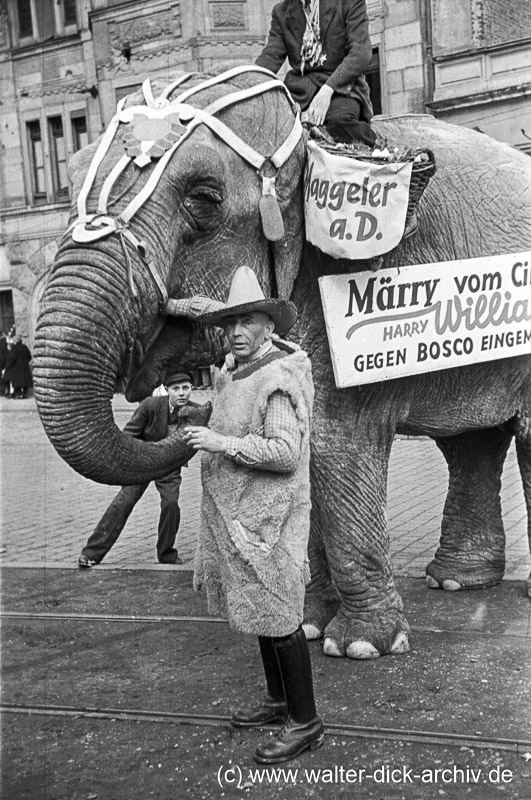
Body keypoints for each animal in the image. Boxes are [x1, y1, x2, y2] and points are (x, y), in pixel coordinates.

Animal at [33, 65, 531, 660]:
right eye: (71, 180)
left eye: (204, 200)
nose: (184, 412)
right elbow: (301, 454)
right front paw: (307, 624)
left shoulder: (348, 285)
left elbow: (333, 446)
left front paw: (361, 647)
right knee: (472, 442)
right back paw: (457, 580)